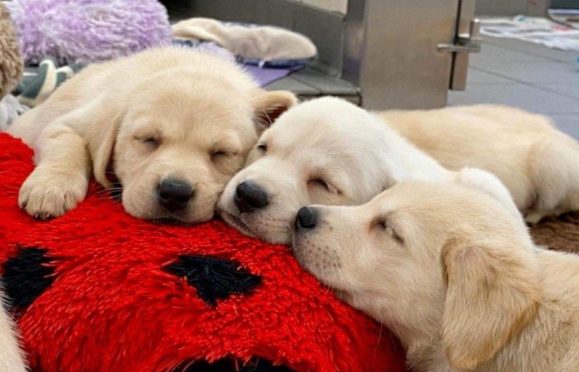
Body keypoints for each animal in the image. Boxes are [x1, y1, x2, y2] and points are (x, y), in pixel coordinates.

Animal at [7, 45, 300, 222]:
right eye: (148, 140)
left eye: (222, 153)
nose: (175, 192)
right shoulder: (67, 124)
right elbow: (68, 145)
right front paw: (50, 188)